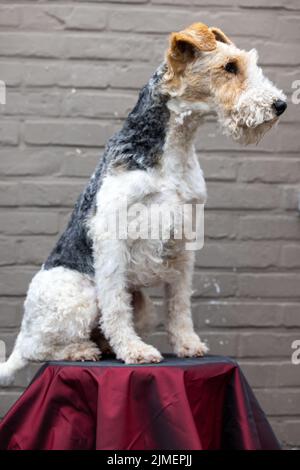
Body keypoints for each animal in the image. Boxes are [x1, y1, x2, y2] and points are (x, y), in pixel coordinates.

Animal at [0, 21, 286, 386]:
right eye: (230, 66)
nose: (280, 105)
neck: (174, 150)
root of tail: (20, 336)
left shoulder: (184, 240)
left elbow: (179, 303)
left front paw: (188, 344)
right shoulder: (112, 234)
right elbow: (115, 307)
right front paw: (135, 352)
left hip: (142, 306)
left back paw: (103, 346)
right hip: (75, 295)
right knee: (41, 348)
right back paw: (81, 350)